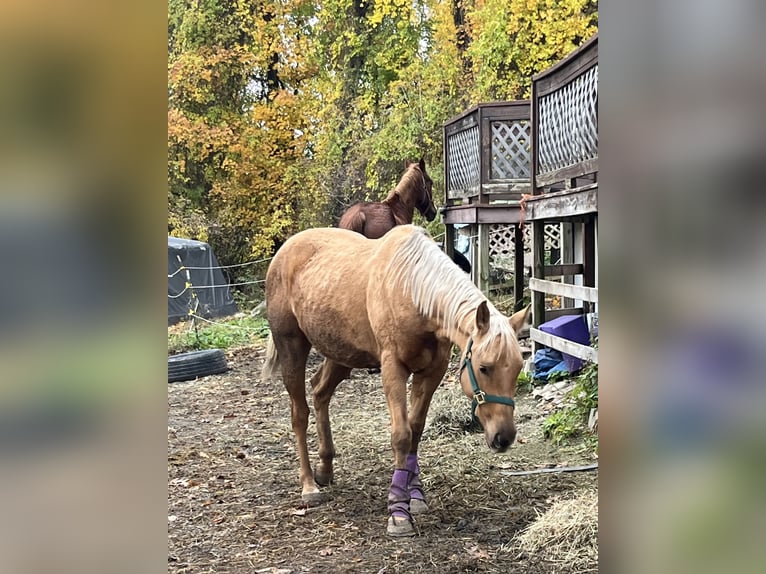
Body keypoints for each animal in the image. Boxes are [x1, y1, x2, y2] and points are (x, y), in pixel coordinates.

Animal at [261, 225, 529, 537]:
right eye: (484, 368)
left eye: (518, 368)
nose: (504, 437)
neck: (412, 289)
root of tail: (286, 250)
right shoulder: (393, 369)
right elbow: (401, 435)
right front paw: (399, 513)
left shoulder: (432, 372)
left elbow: (416, 430)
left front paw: (415, 496)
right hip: (292, 347)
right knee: (299, 413)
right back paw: (308, 486)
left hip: (340, 353)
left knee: (319, 392)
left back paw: (325, 468)